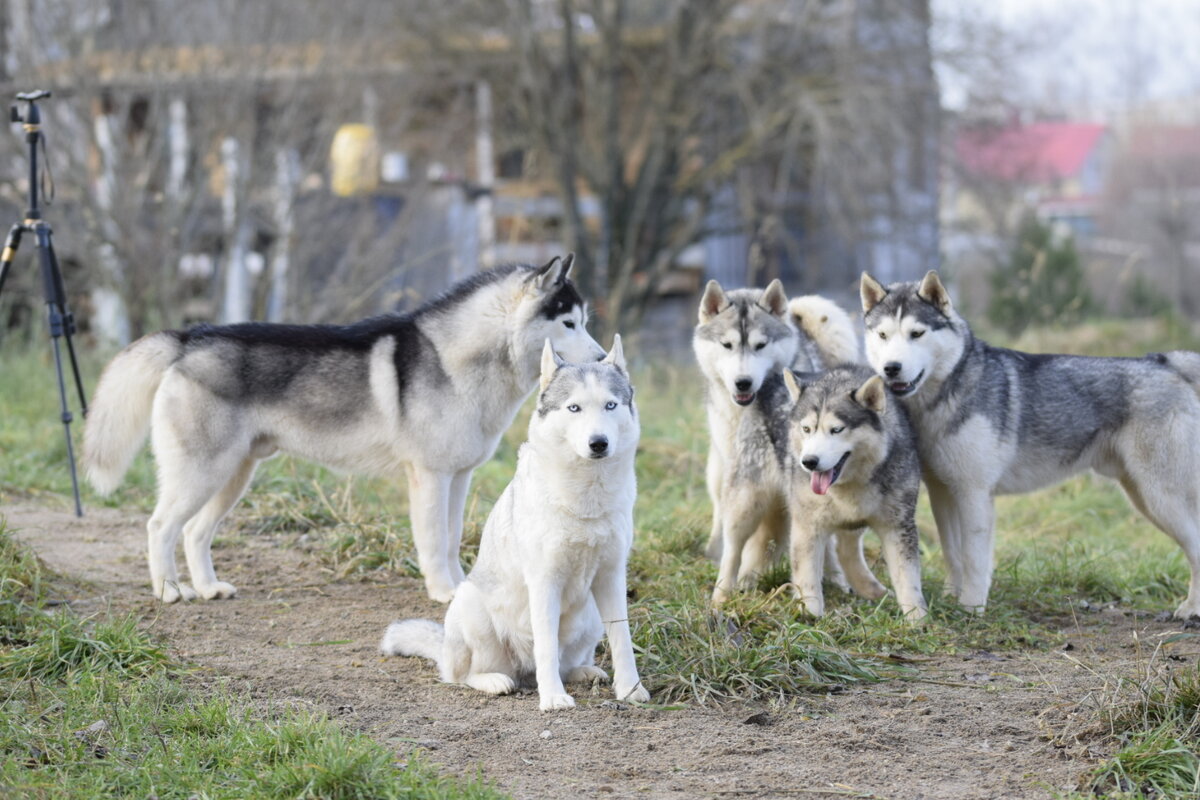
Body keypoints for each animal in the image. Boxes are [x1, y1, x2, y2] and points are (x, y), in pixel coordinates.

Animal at [83, 260, 604, 604]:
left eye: (584, 322)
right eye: (567, 323)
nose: (602, 359)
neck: (456, 360)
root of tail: (192, 337)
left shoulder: (459, 477)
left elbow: (454, 538)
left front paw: (460, 589)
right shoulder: (430, 477)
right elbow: (435, 542)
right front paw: (443, 593)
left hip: (234, 475)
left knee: (193, 532)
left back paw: (210, 588)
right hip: (201, 473)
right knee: (160, 527)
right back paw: (170, 591)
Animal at [381, 335, 648, 710]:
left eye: (610, 405)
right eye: (574, 408)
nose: (598, 443)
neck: (586, 498)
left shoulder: (611, 576)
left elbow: (622, 640)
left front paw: (631, 690)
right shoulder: (544, 582)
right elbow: (546, 647)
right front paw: (552, 699)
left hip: (592, 615)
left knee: (567, 663)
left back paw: (585, 673)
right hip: (471, 607)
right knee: (463, 676)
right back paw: (497, 681)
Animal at [782, 367, 921, 623]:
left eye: (836, 430)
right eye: (806, 429)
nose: (809, 462)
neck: (849, 484)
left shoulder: (898, 526)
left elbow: (908, 579)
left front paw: (918, 619)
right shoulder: (807, 524)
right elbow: (807, 574)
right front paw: (810, 615)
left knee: (846, 549)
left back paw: (869, 588)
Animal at [864, 271, 1200, 618]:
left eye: (916, 333)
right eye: (883, 335)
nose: (891, 368)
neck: (944, 397)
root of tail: (1164, 362)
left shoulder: (974, 494)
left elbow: (973, 559)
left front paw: (971, 608)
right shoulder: (942, 493)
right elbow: (952, 553)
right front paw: (950, 599)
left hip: (1162, 499)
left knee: (1196, 549)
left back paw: (1190, 609)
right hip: (1142, 497)